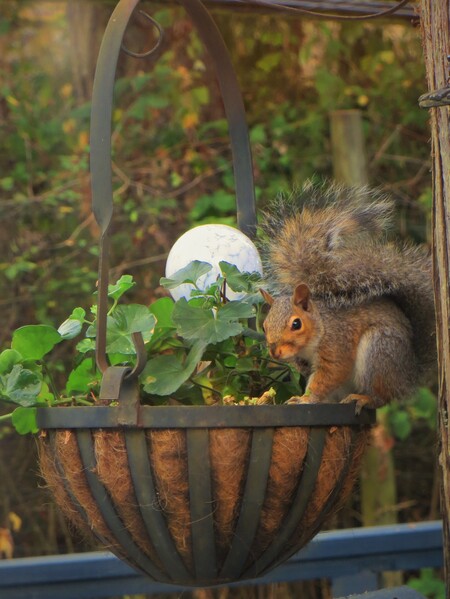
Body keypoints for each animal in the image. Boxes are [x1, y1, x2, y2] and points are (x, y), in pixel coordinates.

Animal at [260, 183, 436, 412]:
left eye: (296, 324)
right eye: (264, 326)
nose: (274, 352)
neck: (321, 326)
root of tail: (410, 378)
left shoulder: (337, 344)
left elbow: (330, 374)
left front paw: (306, 399)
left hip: (378, 352)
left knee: (382, 397)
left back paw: (364, 398)